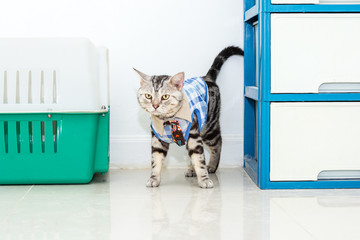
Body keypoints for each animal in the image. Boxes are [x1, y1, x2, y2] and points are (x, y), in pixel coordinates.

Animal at [135, 45, 245, 188]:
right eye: (148, 96)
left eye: (165, 97)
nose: (155, 105)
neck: (168, 120)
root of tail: (206, 77)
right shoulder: (157, 139)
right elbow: (156, 161)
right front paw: (154, 178)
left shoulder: (193, 135)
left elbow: (199, 159)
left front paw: (204, 179)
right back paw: (192, 170)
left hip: (209, 127)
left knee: (218, 143)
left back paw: (212, 166)